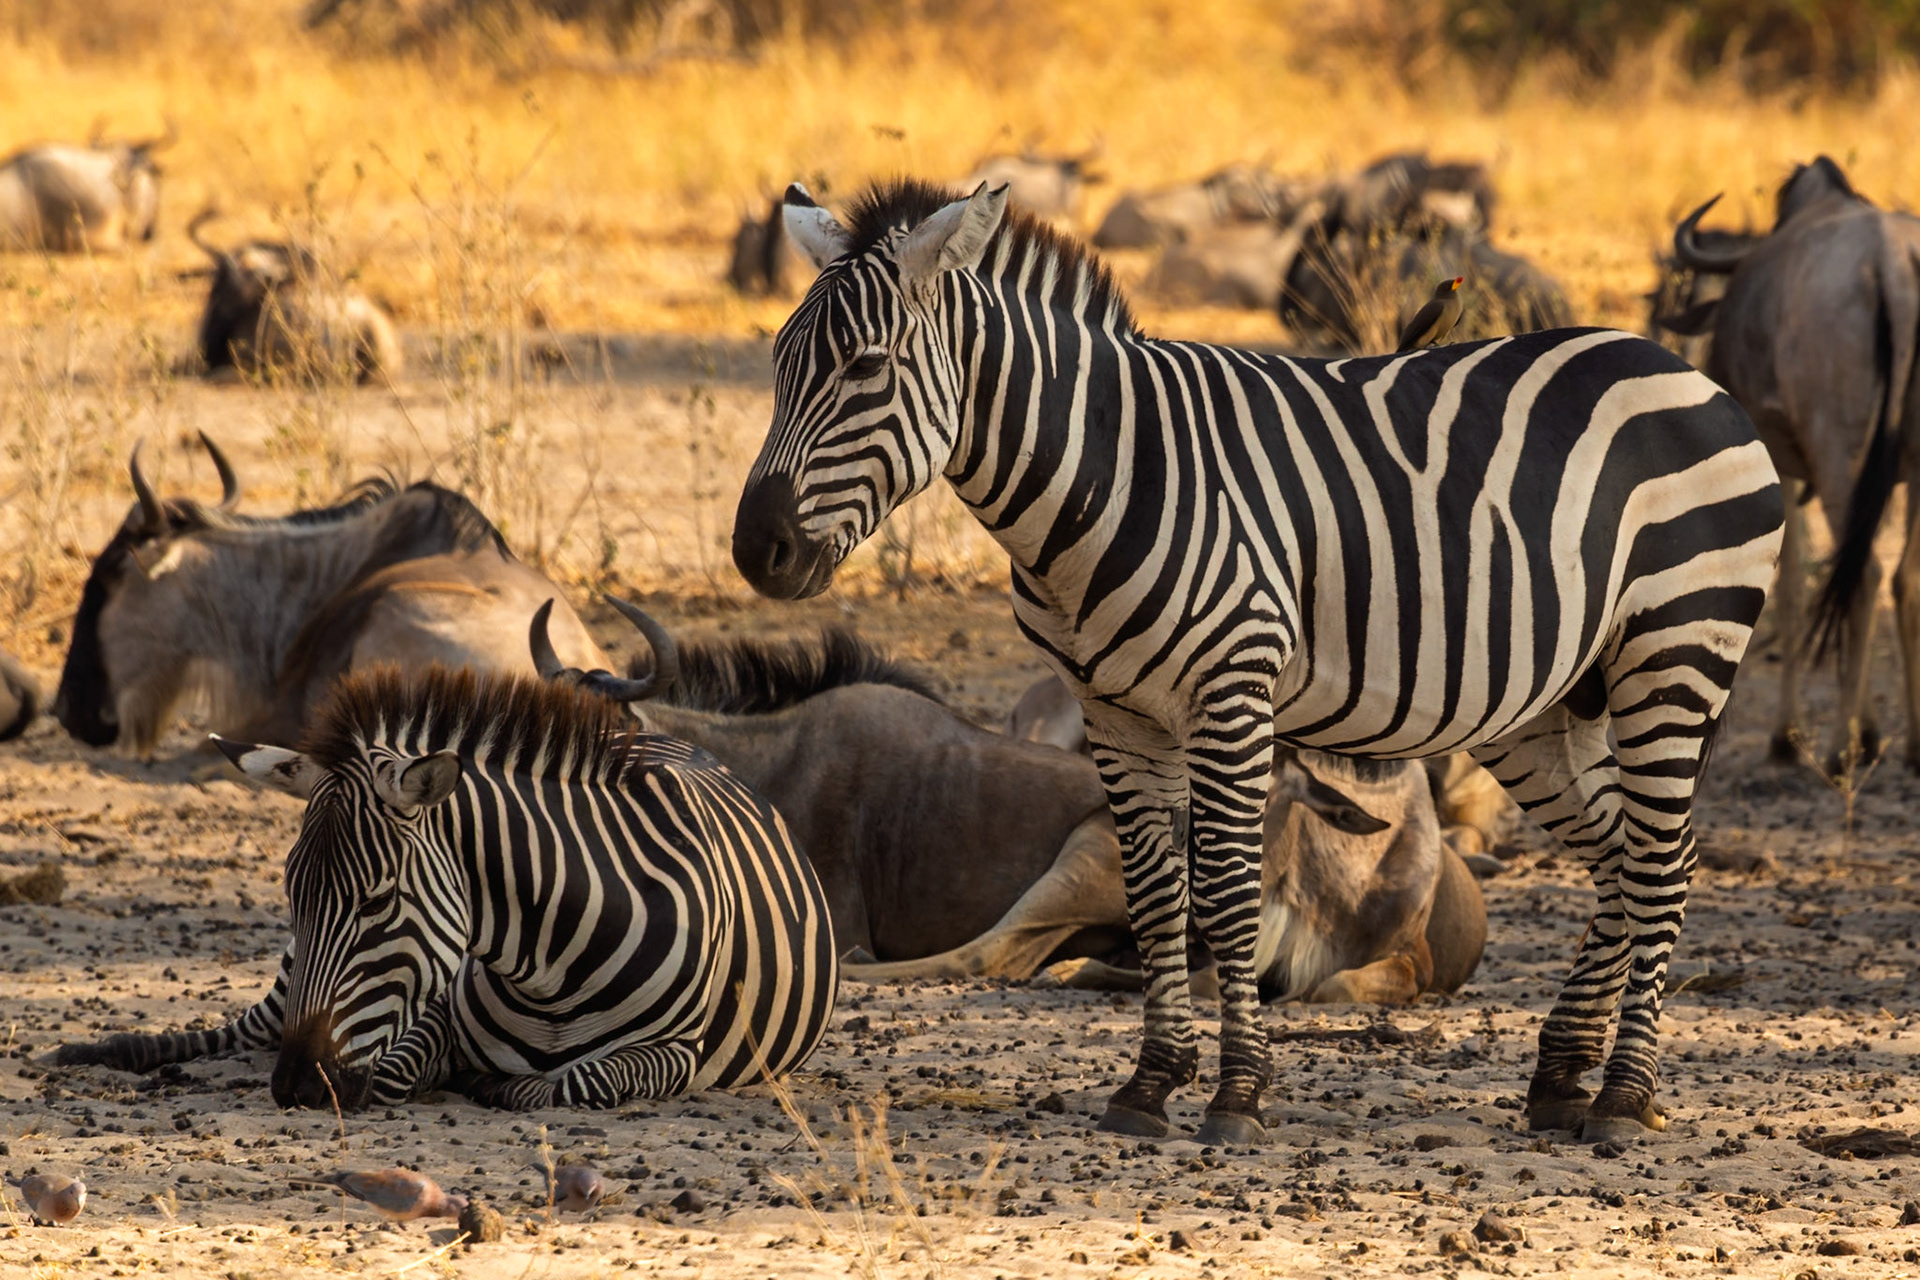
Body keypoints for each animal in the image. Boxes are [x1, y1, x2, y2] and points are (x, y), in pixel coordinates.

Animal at [59, 666, 838, 1111]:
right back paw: (100, 1052)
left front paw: (502, 1084)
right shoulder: (432, 1013)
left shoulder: (680, 1052)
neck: (552, 971)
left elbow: (575, 1083)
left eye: (377, 903)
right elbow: (392, 1071)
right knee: (243, 1027)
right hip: (280, 988)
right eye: (291, 900)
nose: (295, 1089)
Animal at [731, 178, 1785, 1148]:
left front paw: (1237, 1096)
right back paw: (1562, 1080)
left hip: (1677, 650)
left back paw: (1622, 1100)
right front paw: (1150, 1085)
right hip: (1549, 707)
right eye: (779, 365)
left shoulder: (1233, 693)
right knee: (1620, 856)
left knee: (1662, 862)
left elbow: (1230, 895)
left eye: (868, 367)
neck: (1104, 477)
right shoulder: (1116, 715)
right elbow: (1158, 897)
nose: (757, 551)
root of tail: (1679, 368)